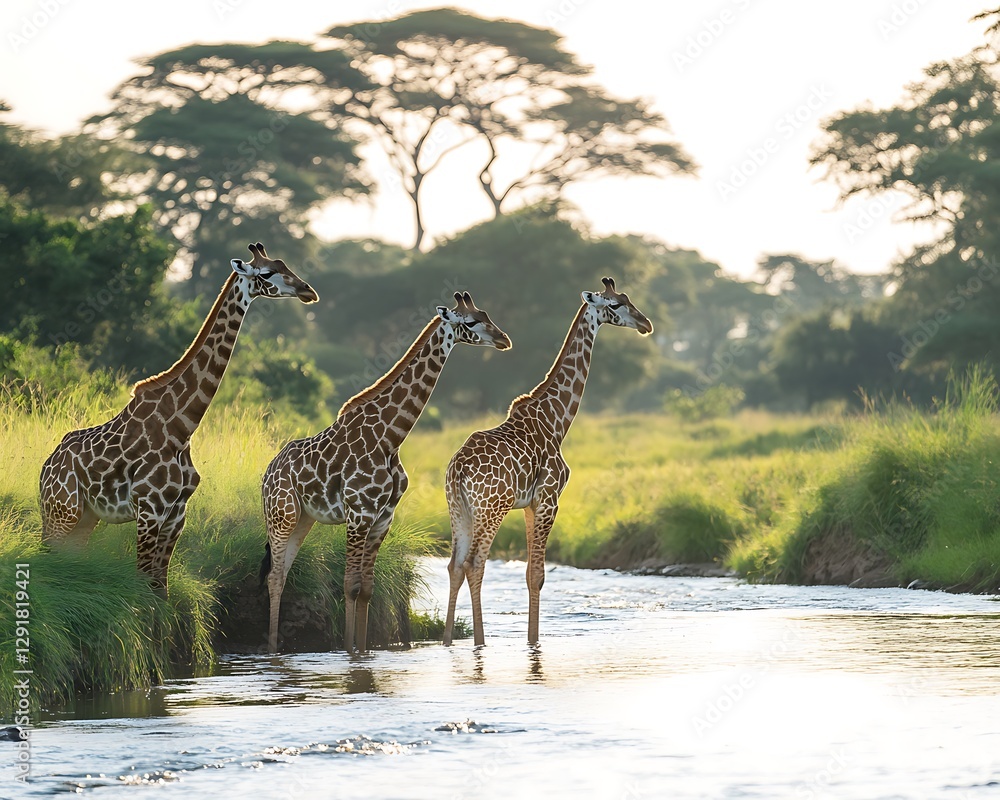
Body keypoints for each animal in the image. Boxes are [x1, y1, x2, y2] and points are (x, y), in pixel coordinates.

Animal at [39, 243, 318, 596]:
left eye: (286, 265)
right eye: (267, 273)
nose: (308, 291)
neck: (182, 426)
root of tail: (46, 466)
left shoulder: (176, 514)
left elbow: (161, 588)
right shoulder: (150, 509)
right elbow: (143, 583)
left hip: (86, 516)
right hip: (61, 511)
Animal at [260, 291, 511, 654]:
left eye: (486, 314)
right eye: (472, 321)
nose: (504, 339)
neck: (390, 437)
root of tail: (267, 472)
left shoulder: (382, 517)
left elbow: (366, 588)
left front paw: (363, 652)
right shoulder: (359, 513)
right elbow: (349, 585)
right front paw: (349, 651)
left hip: (303, 518)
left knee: (282, 572)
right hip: (281, 514)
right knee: (274, 576)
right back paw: (270, 652)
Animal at [443, 277, 653, 646]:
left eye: (628, 299)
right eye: (615, 305)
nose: (646, 324)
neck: (557, 419)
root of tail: (458, 471)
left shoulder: (529, 503)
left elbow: (529, 572)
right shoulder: (549, 499)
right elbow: (537, 575)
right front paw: (533, 643)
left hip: (459, 510)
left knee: (455, 565)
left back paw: (447, 642)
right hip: (490, 509)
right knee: (474, 564)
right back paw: (480, 643)